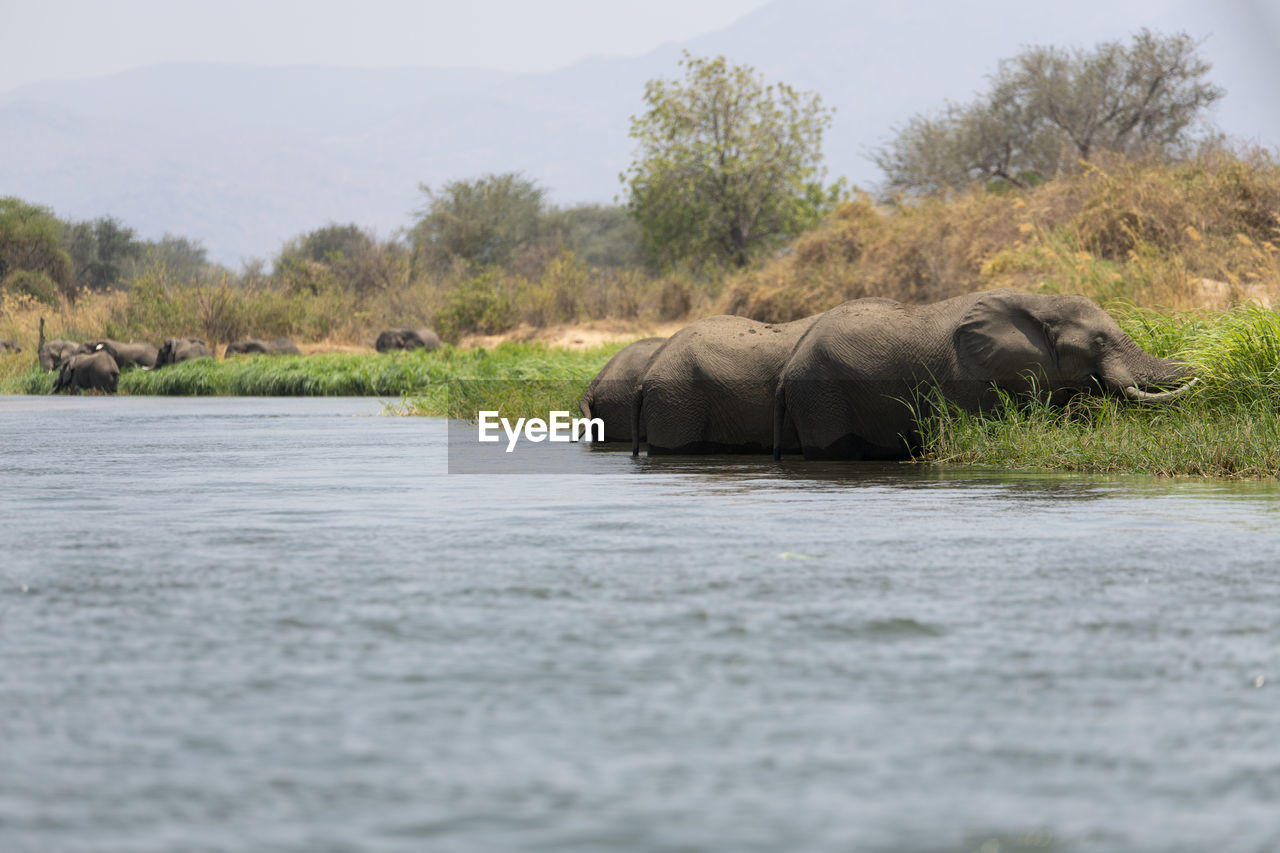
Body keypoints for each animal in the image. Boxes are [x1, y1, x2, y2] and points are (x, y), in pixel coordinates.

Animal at [768, 286, 1198, 458]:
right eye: (1099, 342)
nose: (1202, 370)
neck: (1039, 301)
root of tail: (788, 366)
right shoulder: (966, 374)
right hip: (820, 394)